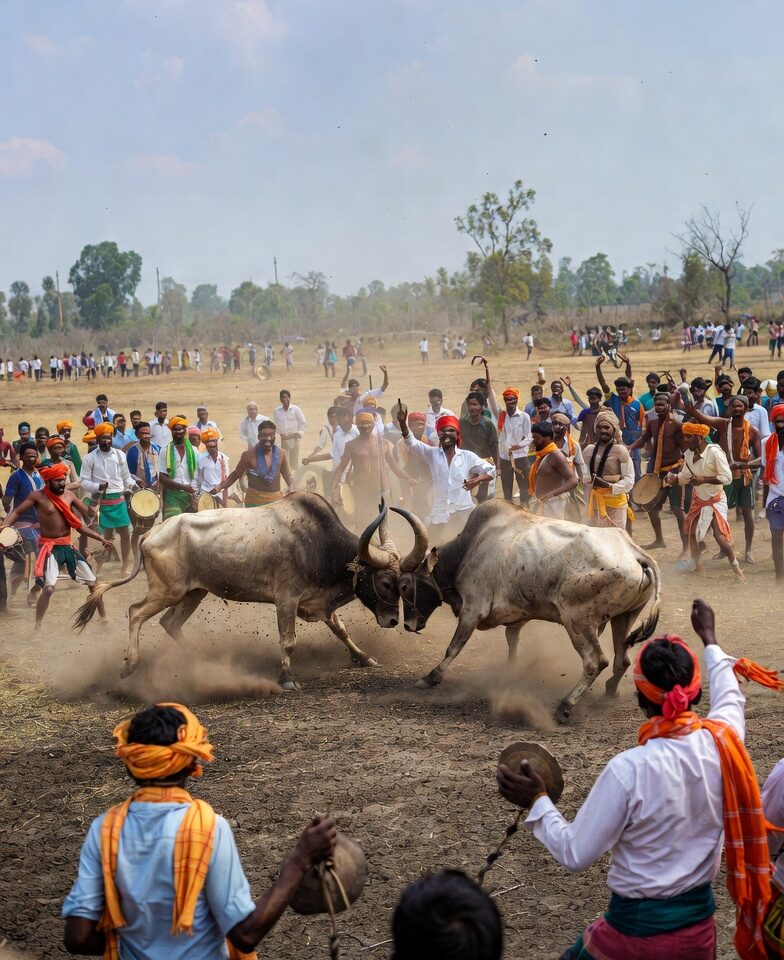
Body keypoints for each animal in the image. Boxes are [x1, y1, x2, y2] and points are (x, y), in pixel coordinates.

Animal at [74, 493, 427, 689]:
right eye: (385, 582)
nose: (392, 621)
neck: (319, 544)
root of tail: (152, 533)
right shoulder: (287, 600)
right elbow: (288, 642)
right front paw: (286, 678)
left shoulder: (318, 604)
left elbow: (341, 631)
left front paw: (364, 658)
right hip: (167, 592)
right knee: (135, 613)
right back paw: (129, 664)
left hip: (193, 594)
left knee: (169, 623)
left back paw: (200, 660)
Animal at [397, 500, 661, 723]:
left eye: (403, 585)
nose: (408, 625)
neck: (468, 550)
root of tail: (634, 552)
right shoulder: (515, 618)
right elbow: (512, 643)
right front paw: (511, 673)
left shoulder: (472, 609)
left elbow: (454, 647)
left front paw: (431, 677)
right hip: (623, 618)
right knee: (621, 659)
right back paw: (609, 692)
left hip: (578, 622)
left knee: (595, 662)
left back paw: (565, 707)